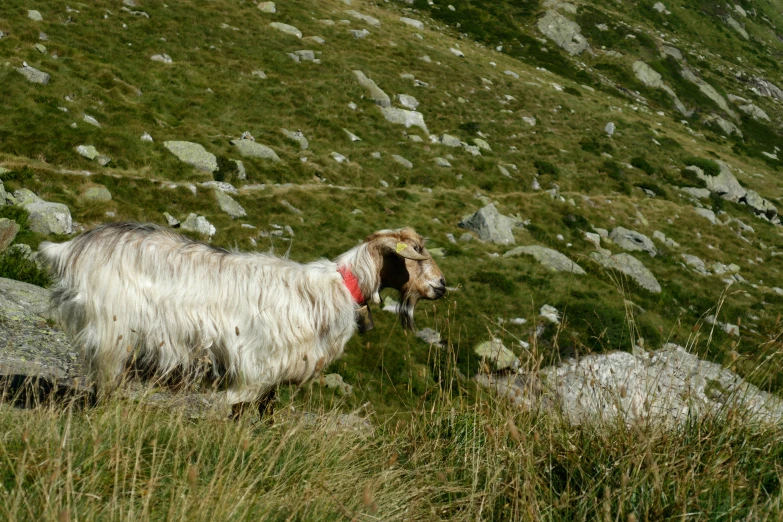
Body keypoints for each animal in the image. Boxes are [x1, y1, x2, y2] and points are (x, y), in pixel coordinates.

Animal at [39, 223, 448, 414]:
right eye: (417, 253)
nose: (442, 286)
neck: (339, 288)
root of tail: (71, 249)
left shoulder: (277, 375)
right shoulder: (257, 364)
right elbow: (235, 403)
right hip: (112, 330)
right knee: (105, 382)